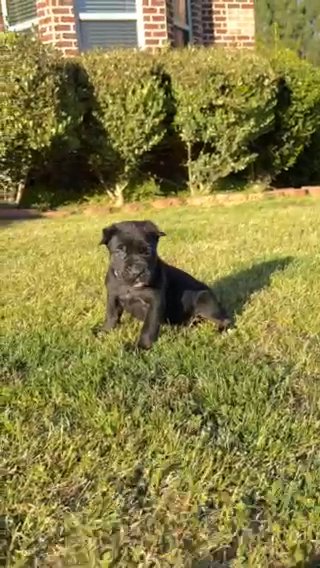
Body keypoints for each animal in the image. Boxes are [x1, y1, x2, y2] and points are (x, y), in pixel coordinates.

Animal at [96, 220, 229, 348]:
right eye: (120, 251)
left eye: (147, 252)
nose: (137, 270)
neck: (130, 286)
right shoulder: (113, 297)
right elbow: (111, 316)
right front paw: (104, 333)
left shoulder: (155, 302)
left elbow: (149, 327)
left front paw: (141, 347)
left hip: (204, 300)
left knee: (225, 320)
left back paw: (220, 332)